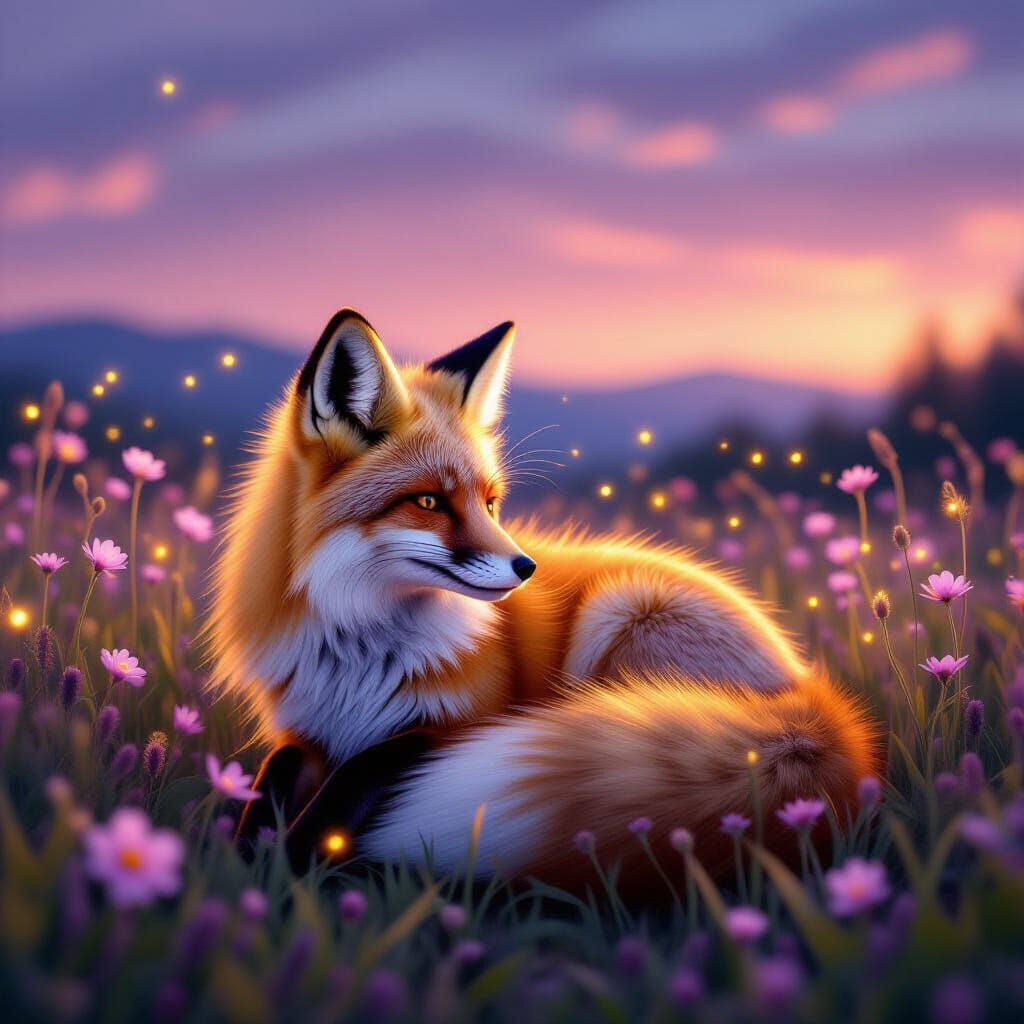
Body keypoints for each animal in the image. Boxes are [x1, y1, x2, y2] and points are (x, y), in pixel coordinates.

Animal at [208, 309, 877, 890]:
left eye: (490, 502)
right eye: (428, 501)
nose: (527, 568)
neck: (360, 653)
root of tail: (808, 692)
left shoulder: (454, 726)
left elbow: (361, 770)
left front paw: (285, 867)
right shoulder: (304, 732)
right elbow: (271, 775)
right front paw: (241, 863)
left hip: (621, 614)